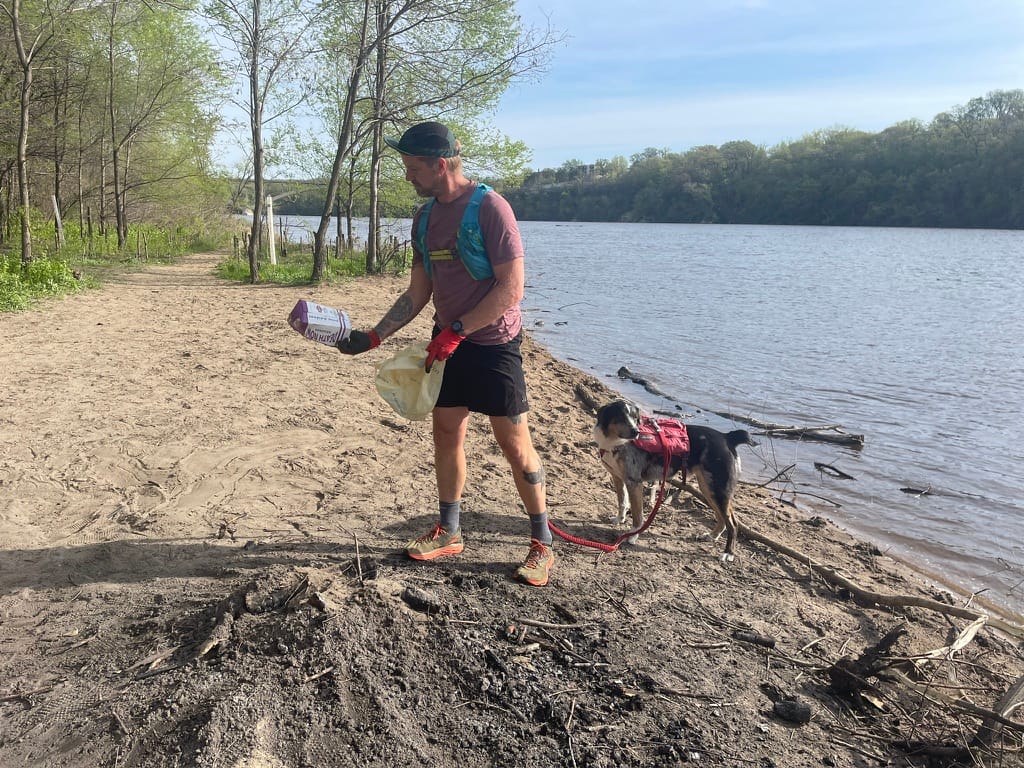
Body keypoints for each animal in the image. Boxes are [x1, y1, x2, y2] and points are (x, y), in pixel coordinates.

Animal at [593, 399, 753, 561]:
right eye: (621, 416)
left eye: (634, 417)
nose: (636, 432)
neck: (616, 442)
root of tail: (728, 437)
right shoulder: (618, 478)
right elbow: (622, 502)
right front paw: (619, 519)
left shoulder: (634, 482)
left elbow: (638, 516)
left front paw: (632, 536)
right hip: (708, 488)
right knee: (722, 518)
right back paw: (712, 536)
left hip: (718, 490)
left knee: (733, 523)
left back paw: (728, 553)